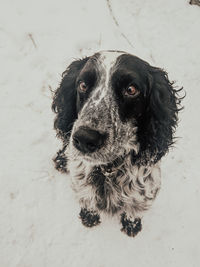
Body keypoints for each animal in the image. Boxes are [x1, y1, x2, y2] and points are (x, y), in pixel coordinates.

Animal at [52, 50, 183, 239]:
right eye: (83, 85)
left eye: (131, 90)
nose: (84, 139)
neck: (108, 170)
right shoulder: (80, 182)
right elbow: (87, 199)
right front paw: (89, 217)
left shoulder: (146, 193)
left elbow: (134, 209)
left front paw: (131, 225)